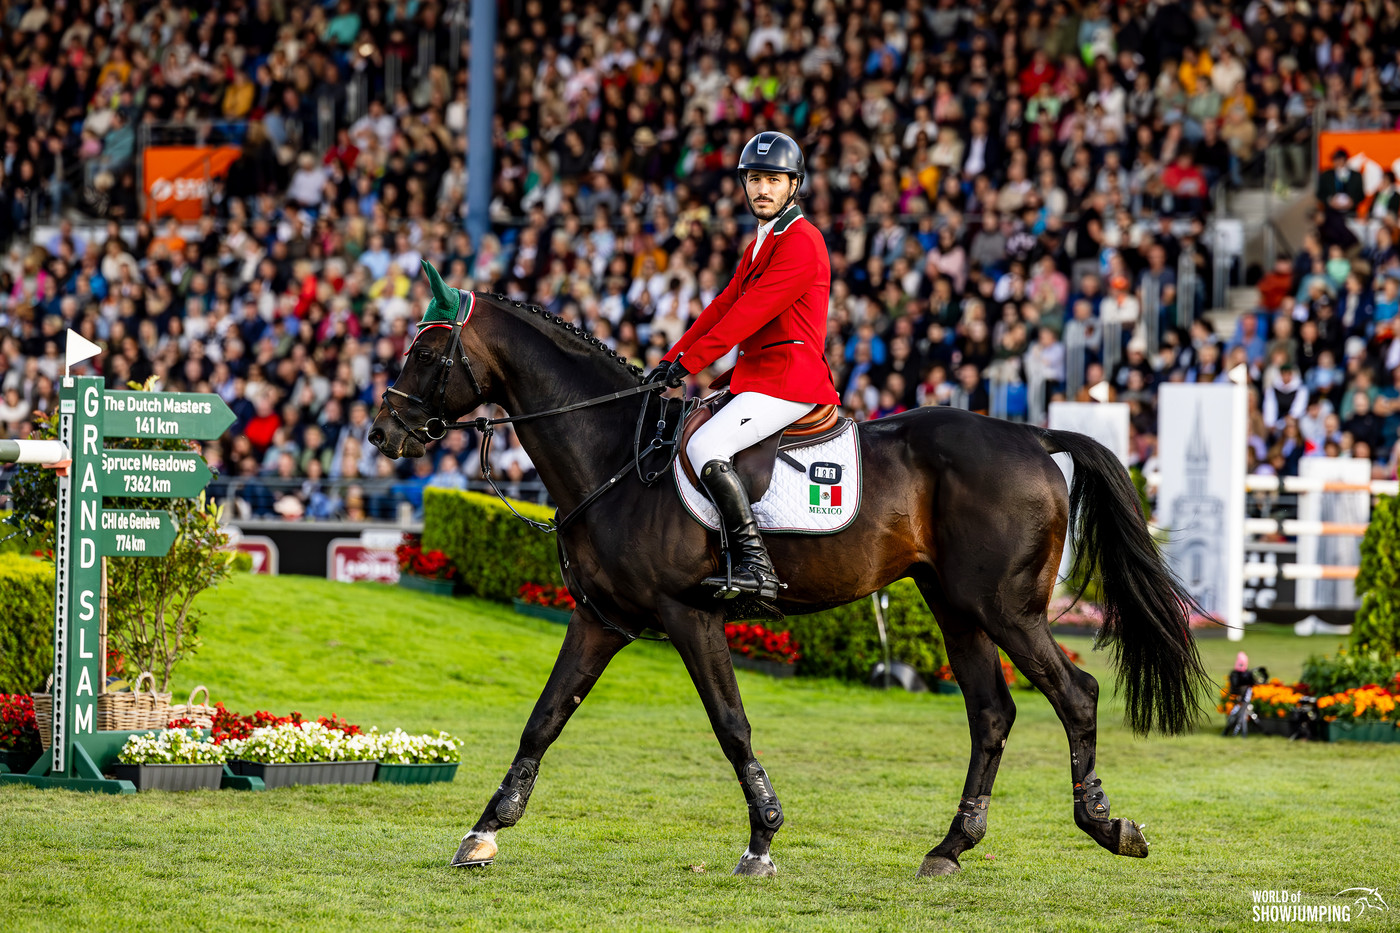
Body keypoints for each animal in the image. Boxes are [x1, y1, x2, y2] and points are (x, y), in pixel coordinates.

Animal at [366, 280, 1209, 874]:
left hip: (1007, 608)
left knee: (1076, 694)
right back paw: (951, 845)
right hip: (956, 606)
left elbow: (730, 723)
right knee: (992, 712)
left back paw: (1108, 825)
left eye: (426, 354)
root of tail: (1033, 435)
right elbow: (544, 718)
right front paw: (483, 830)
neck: (616, 457)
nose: (380, 432)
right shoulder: (600, 618)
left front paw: (762, 838)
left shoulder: (689, 615)